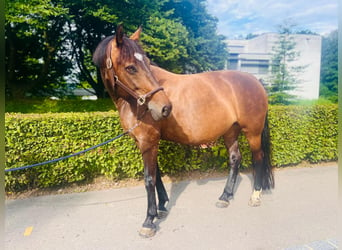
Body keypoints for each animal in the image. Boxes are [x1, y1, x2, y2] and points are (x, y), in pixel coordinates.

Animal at [92, 25, 274, 238]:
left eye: (147, 62)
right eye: (130, 67)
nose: (165, 108)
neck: (133, 104)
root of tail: (256, 81)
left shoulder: (148, 141)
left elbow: (149, 179)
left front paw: (149, 220)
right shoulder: (144, 142)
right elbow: (157, 174)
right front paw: (162, 207)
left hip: (252, 132)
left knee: (258, 158)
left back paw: (255, 195)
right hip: (231, 131)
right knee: (235, 159)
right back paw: (225, 196)